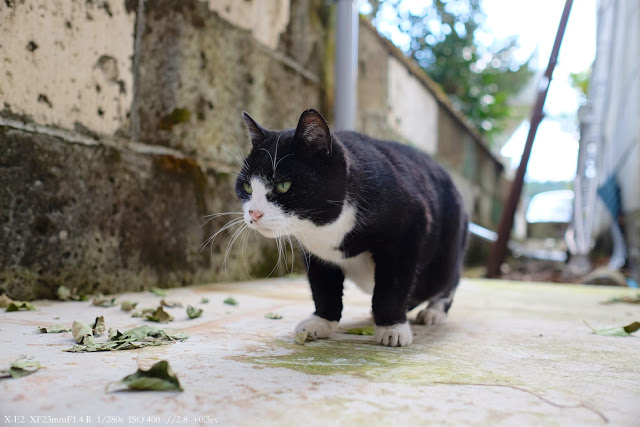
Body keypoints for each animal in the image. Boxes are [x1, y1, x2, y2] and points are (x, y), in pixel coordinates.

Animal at [238, 108, 468, 346]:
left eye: (283, 185)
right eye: (247, 187)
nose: (254, 213)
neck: (327, 227)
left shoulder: (410, 226)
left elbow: (392, 286)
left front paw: (392, 327)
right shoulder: (315, 253)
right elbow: (323, 287)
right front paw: (321, 321)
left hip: (448, 253)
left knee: (447, 281)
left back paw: (434, 312)